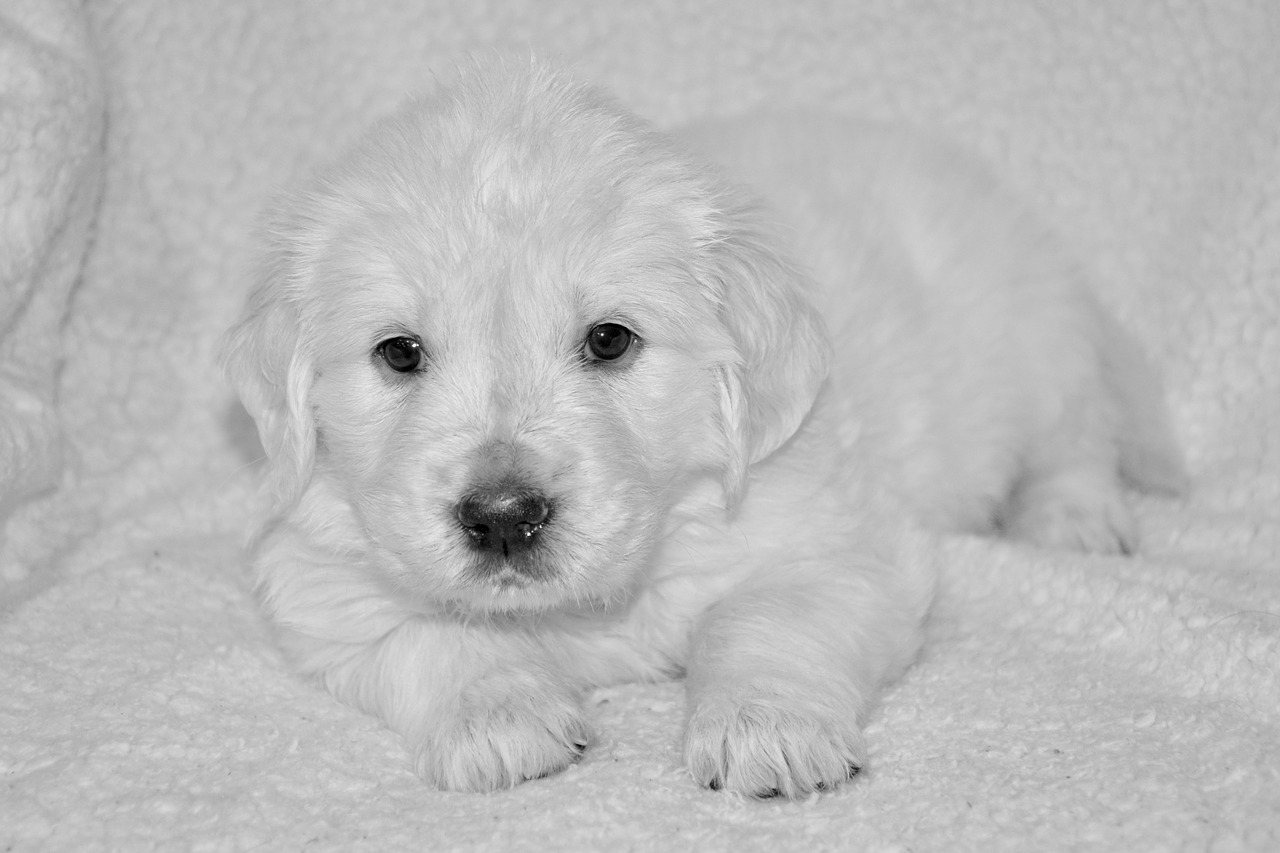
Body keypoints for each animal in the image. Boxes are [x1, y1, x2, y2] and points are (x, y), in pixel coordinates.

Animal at [222, 61, 1187, 799]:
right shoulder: (318, 572)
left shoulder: (843, 542)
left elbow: (764, 616)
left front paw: (766, 726)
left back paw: (1073, 518)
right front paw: (499, 715)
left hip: (1037, 345)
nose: (502, 517)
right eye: (399, 352)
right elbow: (428, 632)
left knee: (1079, 437)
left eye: (610, 339)